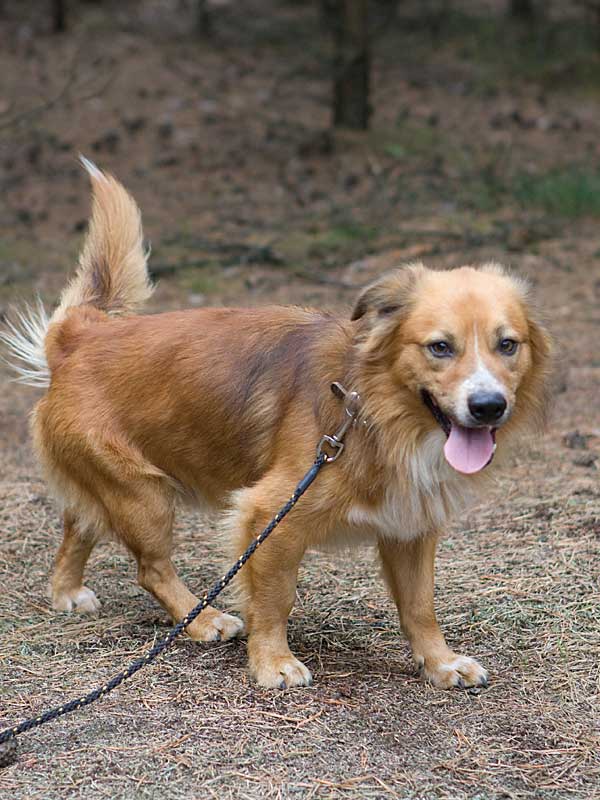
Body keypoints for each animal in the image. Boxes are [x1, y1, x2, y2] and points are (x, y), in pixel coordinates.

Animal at [1, 159, 551, 690]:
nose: (487, 406)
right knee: (150, 568)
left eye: (507, 345)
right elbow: (274, 598)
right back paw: (201, 620)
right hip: (144, 496)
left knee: (79, 526)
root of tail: (81, 336)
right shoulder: (269, 514)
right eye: (440, 347)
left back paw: (67, 591)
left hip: (114, 486)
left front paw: (439, 663)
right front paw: (272, 663)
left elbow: (420, 606)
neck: (375, 411)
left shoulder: (409, 525)